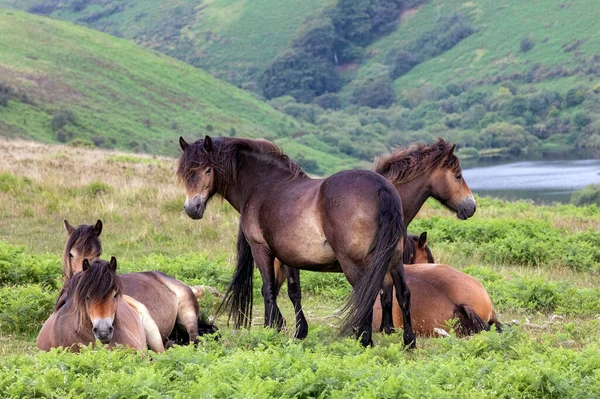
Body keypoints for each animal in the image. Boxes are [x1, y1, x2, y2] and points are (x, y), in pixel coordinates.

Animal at [178, 137, 412, 346]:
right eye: (186, 173)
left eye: (208, 170)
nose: (192, 208)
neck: (263, 186)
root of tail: (382, 188)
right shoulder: (289, 257)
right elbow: (294, 292)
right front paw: (299, 332)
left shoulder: (260, 250)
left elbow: (268, 289)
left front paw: (270, 328)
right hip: (394, 260)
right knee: (403, 294)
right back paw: (408, 342)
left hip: (354, 263)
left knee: (366, 297)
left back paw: (364, 341)